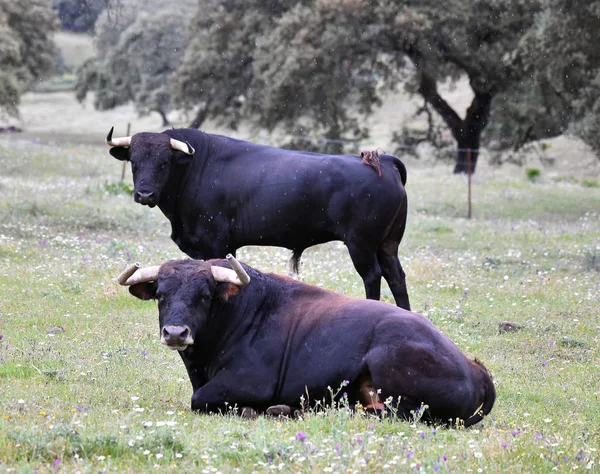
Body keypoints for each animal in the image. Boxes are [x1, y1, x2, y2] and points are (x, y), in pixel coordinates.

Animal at [105, 127, 410, 312]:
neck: (196, 167)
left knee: (373, 276)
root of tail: (384, 161)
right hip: (388, 244)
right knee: (396, 276)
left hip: (361, 244)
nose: (144, 194)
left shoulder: (213, 242)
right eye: (133, 162)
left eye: (164, 162)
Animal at [118, 256, 496, 426]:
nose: (175, 333)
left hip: (388, 364)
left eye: (205, 295)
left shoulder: (246, 384)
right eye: (161, 295)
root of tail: (475, 370)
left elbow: (200, 400)